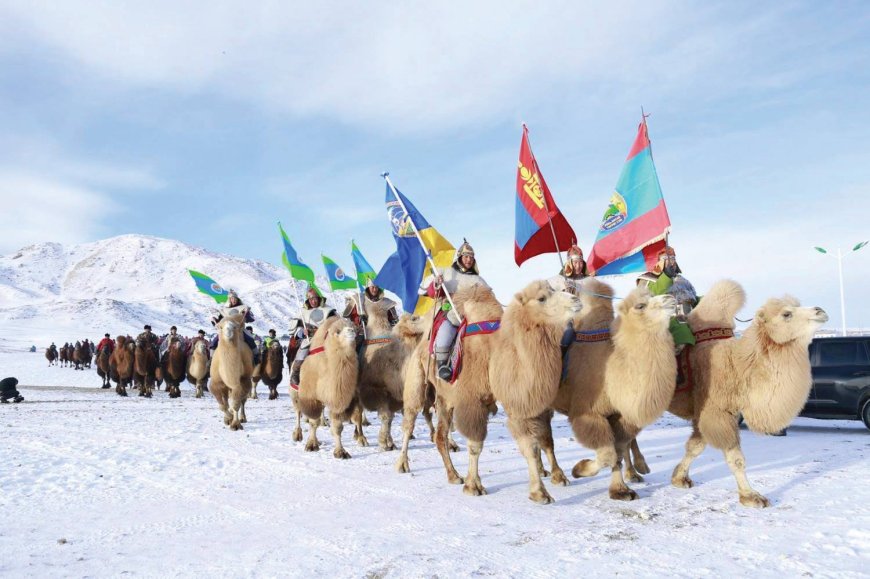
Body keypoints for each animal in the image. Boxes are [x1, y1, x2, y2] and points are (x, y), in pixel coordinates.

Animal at [292, 314, 362, 460]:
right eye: (338, 332)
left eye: (353, 327)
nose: (351, 331)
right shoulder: (311, 397)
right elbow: (313, 422)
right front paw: (311, 445)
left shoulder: (338, 399)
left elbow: (338, 427)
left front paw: (341, 451)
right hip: (295, 392)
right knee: (298, 412)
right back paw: (297, 434)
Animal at [668, 280, 832, 508]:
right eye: (786, 314)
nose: (820, 311)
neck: (737, 364)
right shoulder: (717, 411)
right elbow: (735, 458)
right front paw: (751, 496)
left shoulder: (712, 411)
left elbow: (695, 446)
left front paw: (679, 478)